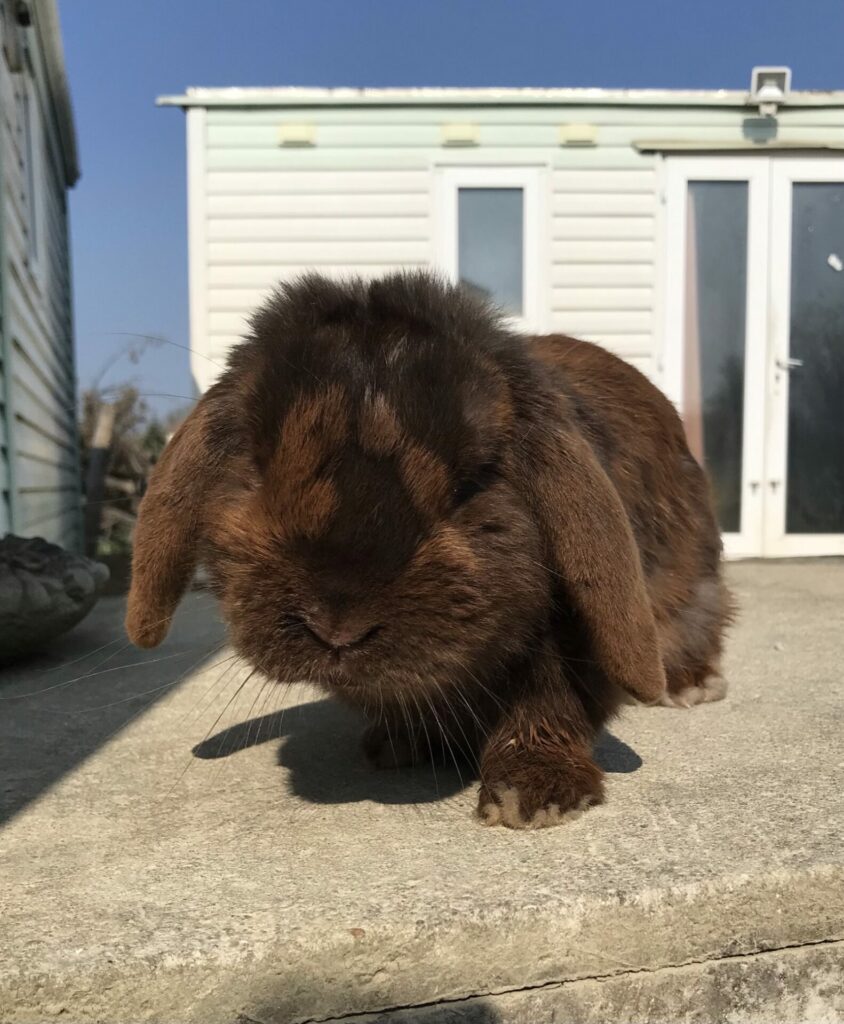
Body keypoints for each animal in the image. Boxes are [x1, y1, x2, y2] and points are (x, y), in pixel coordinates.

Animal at [126, 271, 732, 829]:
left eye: (473, 483)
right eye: (254, 469)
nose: (337, 627)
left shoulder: (563, 647)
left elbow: (545, 701)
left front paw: (533, 797)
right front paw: (395, 744)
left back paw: (692, 687)